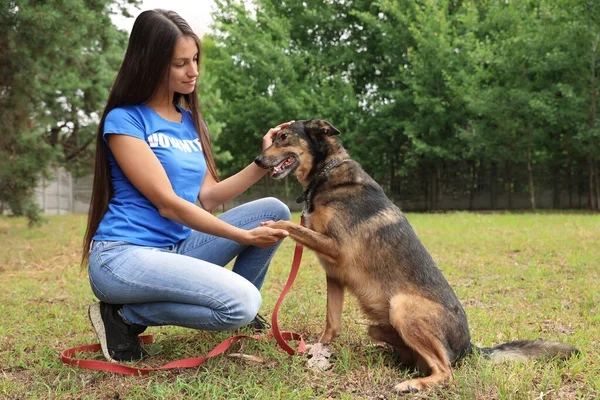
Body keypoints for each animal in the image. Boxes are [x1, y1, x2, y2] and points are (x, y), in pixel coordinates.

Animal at [254, 119, 580, 394]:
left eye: (283, 137)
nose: (257, 161)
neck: (326, 172)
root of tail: (469, 347)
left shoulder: (337, 248)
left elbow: (291, 226)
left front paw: (269, 227)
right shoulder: (334, 274)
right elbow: (331, 323)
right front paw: (318, 349)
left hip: (402, 307)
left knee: (446, 372)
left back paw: (411, 384)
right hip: (379, 325)